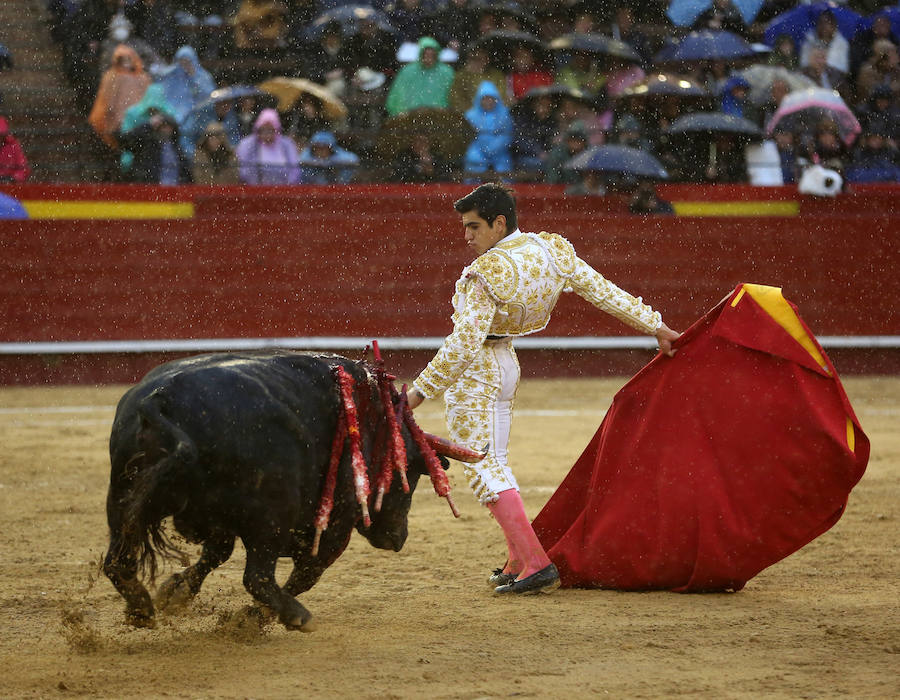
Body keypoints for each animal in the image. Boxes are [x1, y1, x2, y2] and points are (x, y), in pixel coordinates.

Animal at [103, 352, 472, 632]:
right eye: (409, 475)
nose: (398, 538)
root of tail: (160, 400)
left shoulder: (222, 521)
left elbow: (216, 554)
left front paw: (175, 593)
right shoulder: (335, 526)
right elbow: (306, 574)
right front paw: (257, 615)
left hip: (121, 498)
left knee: (116, 562)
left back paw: (141, 609)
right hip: (271, 518)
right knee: (257, 576)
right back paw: (296, 616)